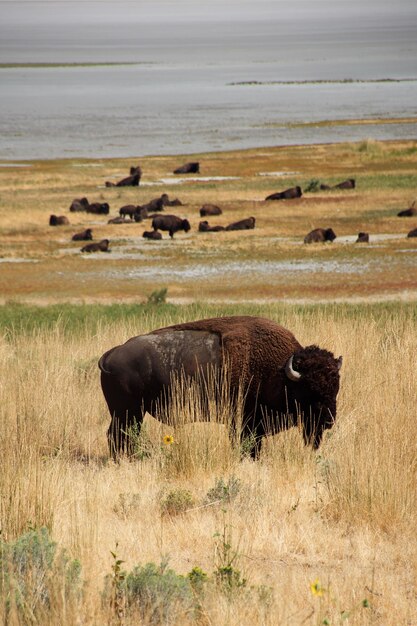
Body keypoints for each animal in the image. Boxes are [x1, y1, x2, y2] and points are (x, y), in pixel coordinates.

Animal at [99, 314, 342, 456]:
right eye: (309, 389)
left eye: (336, 387)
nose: (328, 420)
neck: (280, 372)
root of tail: (111, 354)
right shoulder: (245, 423)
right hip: (127, 412)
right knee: (118, 436)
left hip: (131, 413)